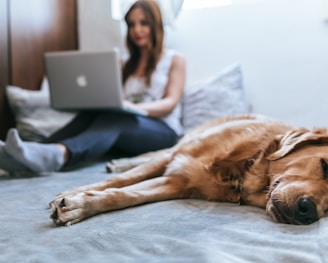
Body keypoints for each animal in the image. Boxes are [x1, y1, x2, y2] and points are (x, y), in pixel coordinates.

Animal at [48, 115, 328, 227]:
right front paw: (74, 193)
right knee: (150, 156)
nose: (308, 212)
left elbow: (125, 194)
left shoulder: (175, 183)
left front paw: (80, 205)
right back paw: (120, 162)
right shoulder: (175, 157)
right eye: (325, 166)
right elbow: (125, 179)